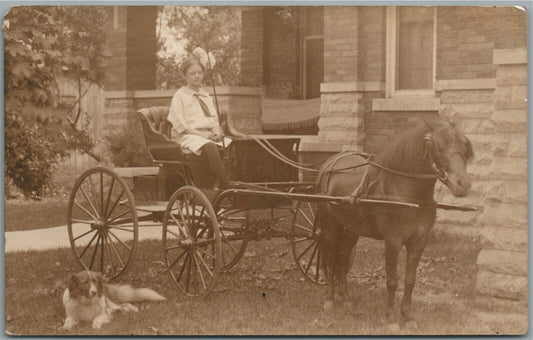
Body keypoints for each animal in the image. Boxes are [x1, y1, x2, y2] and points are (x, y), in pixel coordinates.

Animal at [314, 117, 472, 330]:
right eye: (439, 147)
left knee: (342, 257)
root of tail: (329, 163)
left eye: (464, 146)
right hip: (330, 226)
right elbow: (392, 281)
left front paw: (408, 316)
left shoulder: (419, 242)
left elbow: (410, 280)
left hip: (351, 230)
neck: (408, 193)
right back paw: (330, 300)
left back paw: (346, 299)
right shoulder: (393, 241)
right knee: (331, 259)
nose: (463, 184)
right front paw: (390, 318)